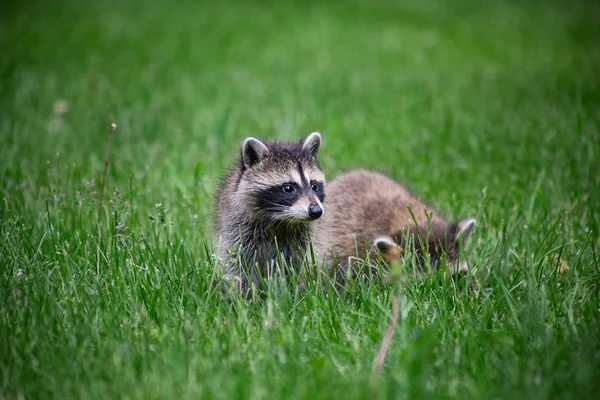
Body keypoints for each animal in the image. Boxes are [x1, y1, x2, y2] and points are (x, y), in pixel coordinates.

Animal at [216, 131, 326, 294]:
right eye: (288, 188)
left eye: (314, 186)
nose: (316, 211)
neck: (279, 218)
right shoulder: (238, 226)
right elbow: (239, 263)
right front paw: (245, 295)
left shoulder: (296, 238)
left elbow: (289, 264)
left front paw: (282, 292)